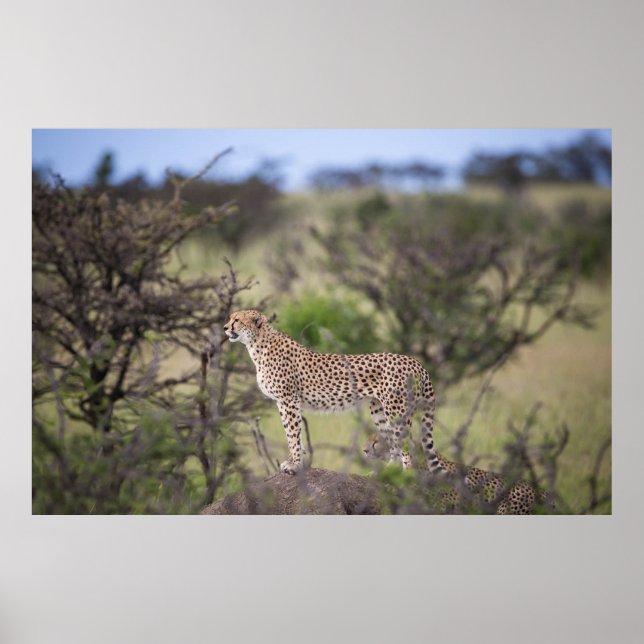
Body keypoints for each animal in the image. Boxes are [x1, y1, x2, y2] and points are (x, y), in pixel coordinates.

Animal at [223, 309, 440, 475]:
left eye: (237, 320)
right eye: (230, 318)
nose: (225, 327)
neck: (257, 344)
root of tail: (414, 361)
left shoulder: (288, 400)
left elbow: (293, 434)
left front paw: (294, 465)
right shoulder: (282, 402)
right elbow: (290, 433)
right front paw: (293, 462)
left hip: (397, 411)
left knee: (408, 444)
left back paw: (407, 476)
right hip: (379, 410)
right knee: (393, 443)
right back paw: (389, 474)